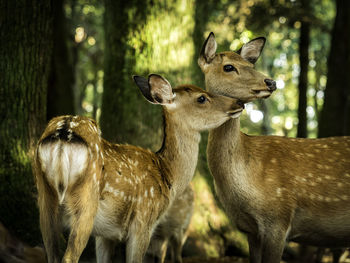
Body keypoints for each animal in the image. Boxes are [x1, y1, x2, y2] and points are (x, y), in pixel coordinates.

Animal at [34, 73, 243, 263]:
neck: (168, 173)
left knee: (52, 254)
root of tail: (63, 135)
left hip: (45, 198)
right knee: (69, 257)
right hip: (86, 200)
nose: (239, 102)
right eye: (201, 98)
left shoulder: (105, 234)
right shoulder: (144, 219)